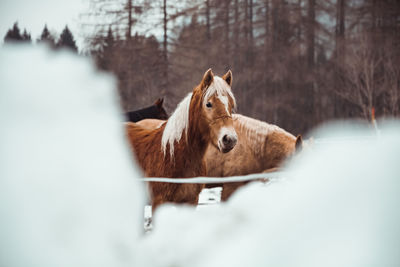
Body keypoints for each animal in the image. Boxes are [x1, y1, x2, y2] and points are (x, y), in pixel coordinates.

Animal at [126, 69, 236, 211]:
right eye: (208, 104)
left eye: (231, 105)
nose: (230, 139)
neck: (172, 154)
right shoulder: (159, 202)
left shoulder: (191, 201)